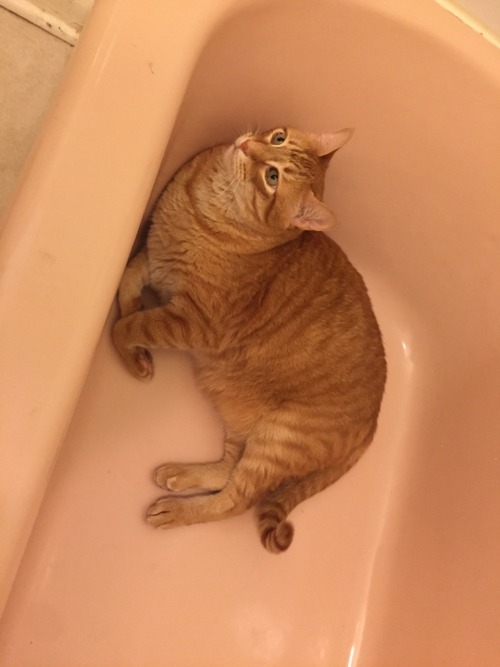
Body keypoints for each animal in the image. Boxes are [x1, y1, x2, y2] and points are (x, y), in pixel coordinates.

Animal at [113, 125, 386, 552]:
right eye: (278, 138)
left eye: (272, 177)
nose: (245, 145)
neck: (200, 205)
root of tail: (373, 423)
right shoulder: (154, 259)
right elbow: (126, 286)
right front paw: (137, 351)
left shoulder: (191, 322)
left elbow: (128, 326)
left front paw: (128, 346)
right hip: (239, 417)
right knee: (228, 469)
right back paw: (180, 475)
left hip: (277, 439)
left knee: (235, 500)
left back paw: (175, 510)